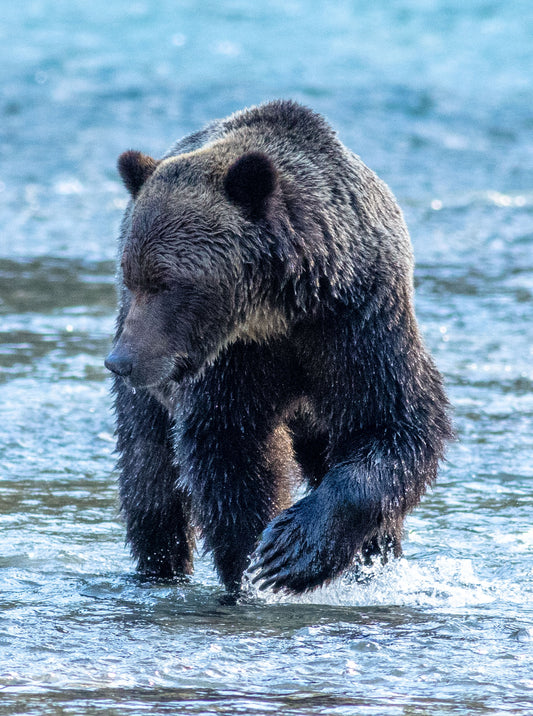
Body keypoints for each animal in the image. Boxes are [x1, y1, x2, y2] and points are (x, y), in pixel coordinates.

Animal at [105, 100, 452, 598]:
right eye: (132, 276)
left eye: (167, 282)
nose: (121, 362)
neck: (282, 307)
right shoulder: (235, 358)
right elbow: (231, 446)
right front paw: (253, 562)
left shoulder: (359, 322)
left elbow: (392, 423)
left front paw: (295, 550)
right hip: (148, 393)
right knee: (149, 476)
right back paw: (159, 566)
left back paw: (376, 562)